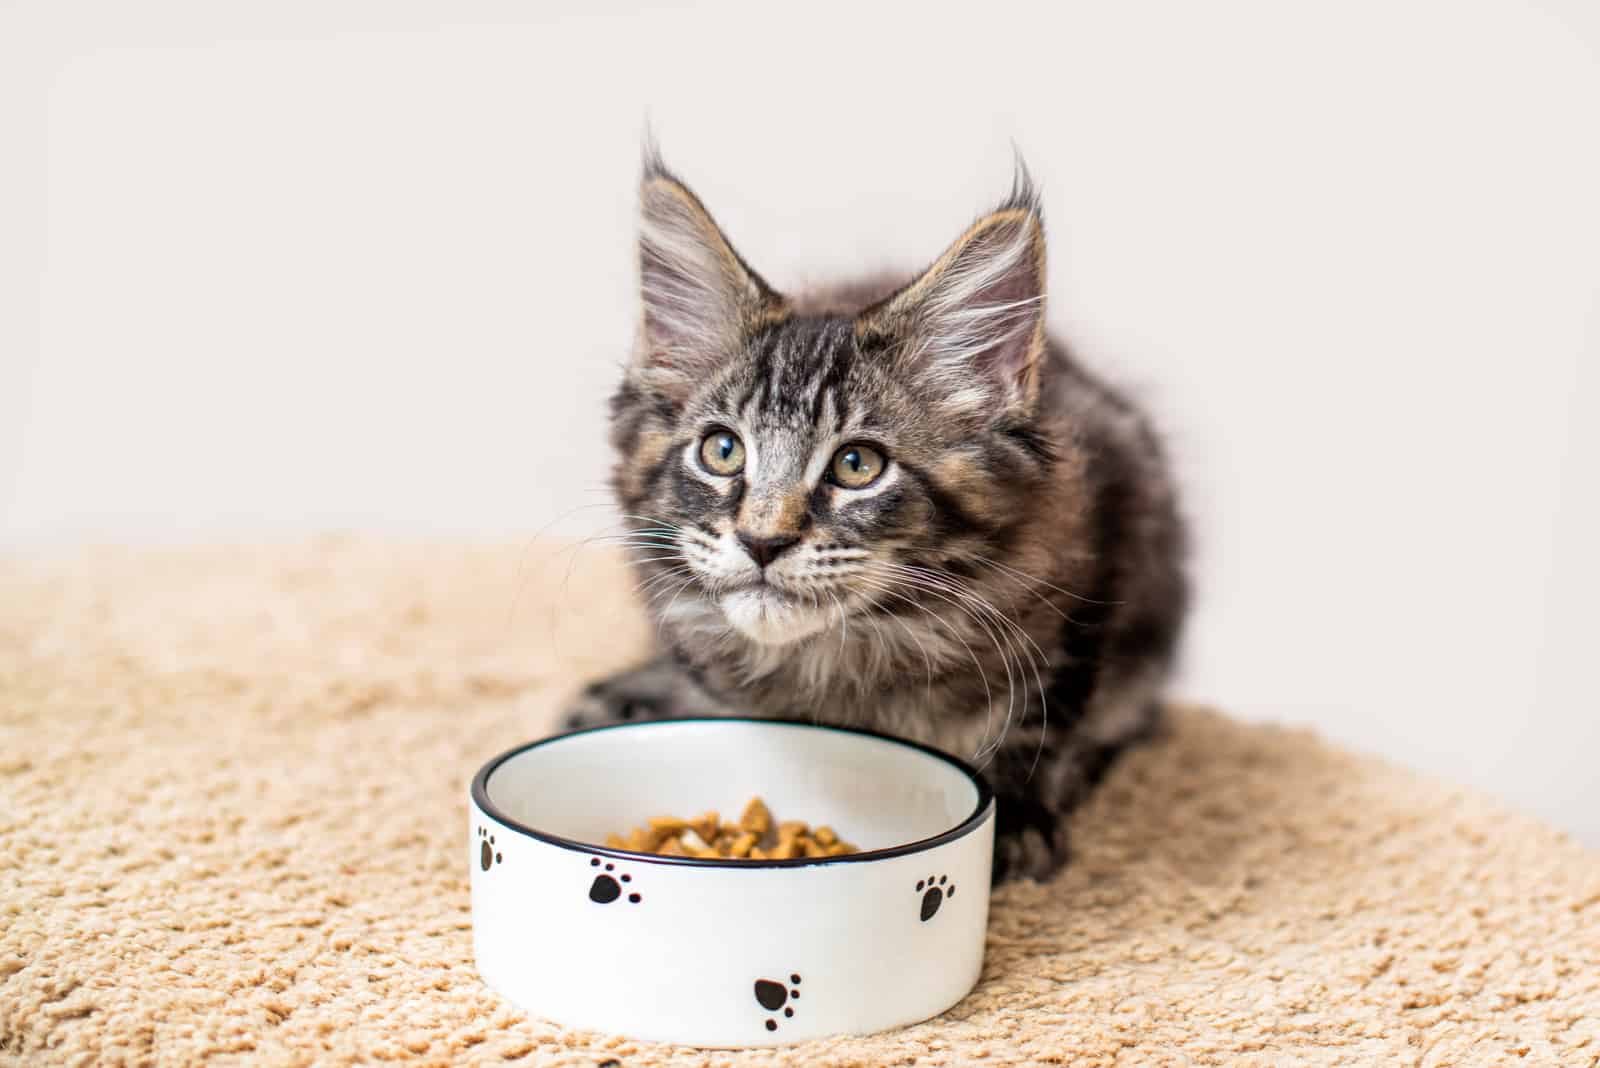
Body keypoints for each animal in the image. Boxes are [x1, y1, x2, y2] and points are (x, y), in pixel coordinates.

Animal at [566, 150, 1190, 882]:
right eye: (722, 451)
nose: (761, 540)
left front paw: (1014, 815)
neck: (847, 660)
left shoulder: (1098, 553)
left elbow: (1045, 714)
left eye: (857, 465)